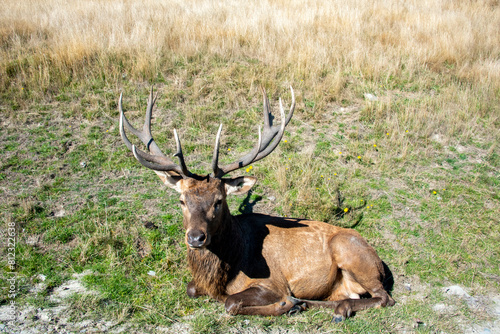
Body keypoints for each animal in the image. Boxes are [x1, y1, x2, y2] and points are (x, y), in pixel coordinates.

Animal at [118, 85, 394, 318]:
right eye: (181, 201)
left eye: (219, 200)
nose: (196, 238)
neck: (228, 269)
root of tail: (380, 263)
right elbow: (191, 288)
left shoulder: (272, 282)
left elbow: (231, 302)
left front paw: (285, 303)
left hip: (350, 252)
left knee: (384, 297)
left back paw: (330, 308)